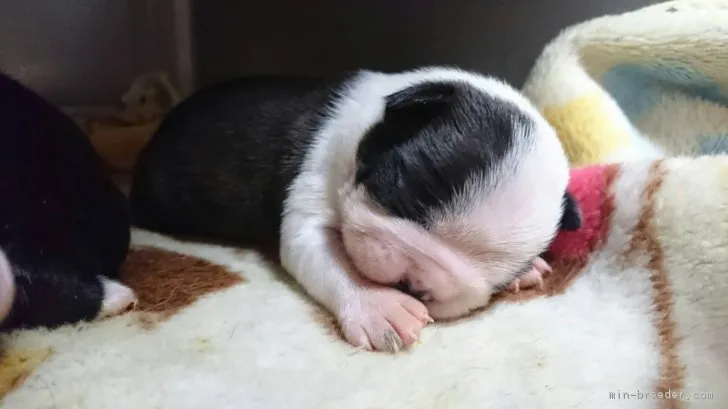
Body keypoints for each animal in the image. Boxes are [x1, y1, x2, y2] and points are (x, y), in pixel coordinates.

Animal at [131, 66, 584, 350]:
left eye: (499, 276)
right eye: (411, 194)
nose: (416, 284)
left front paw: (529, 270)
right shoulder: (311, 195)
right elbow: (335, 260)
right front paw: (381, 307)